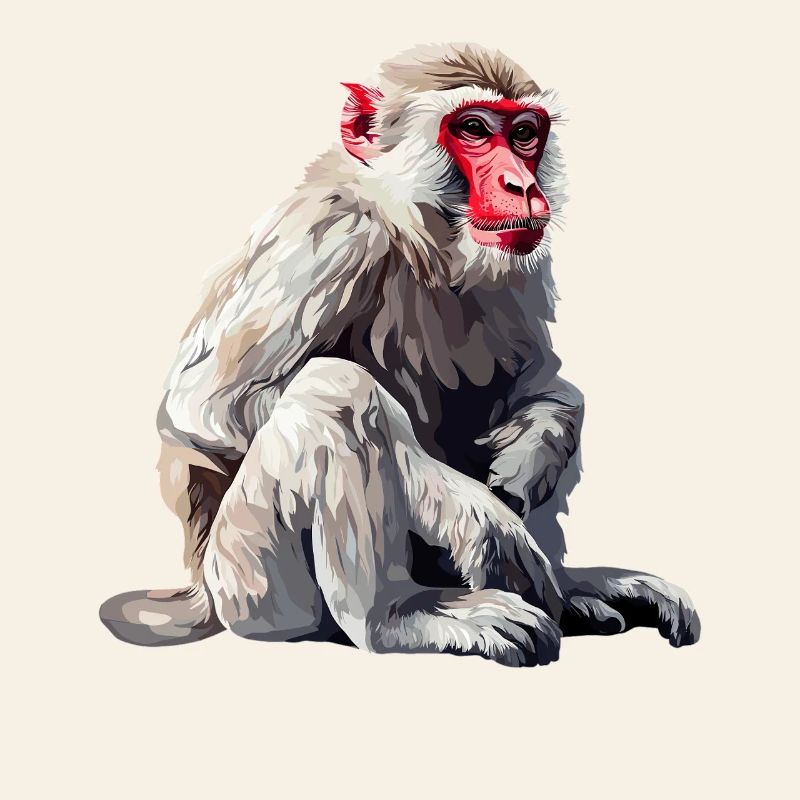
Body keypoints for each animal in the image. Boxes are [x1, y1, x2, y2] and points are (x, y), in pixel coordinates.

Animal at [100, 43, 700, 666]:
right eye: (473, 129)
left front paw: (532, 452)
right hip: (251, 585)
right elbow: (206, 410)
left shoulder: (520, 260)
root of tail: (201, 593)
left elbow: (543, 383)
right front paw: (470, 510)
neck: (416, 230)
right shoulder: (331, 235)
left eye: (524, 134)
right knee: (334, 393)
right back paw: (399, 617)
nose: (521, 184)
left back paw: (572, 591)